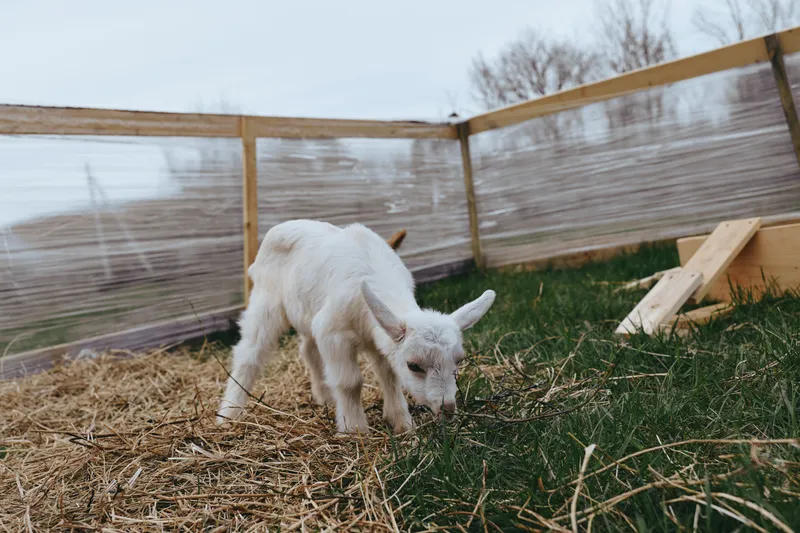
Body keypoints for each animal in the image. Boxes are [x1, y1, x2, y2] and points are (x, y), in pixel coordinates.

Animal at [217, 220, 496, 434]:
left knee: (309, 351)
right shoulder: (333, 333)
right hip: (266, 301)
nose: (447, 409)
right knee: (249, 353)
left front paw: (402, 423)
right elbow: (350, 382)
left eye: (459, 361)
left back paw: (325, 397)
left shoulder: (379, 337)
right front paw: (354, 429)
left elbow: (389, 377)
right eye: (414, 366)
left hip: (308, 313)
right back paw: (229, 413)